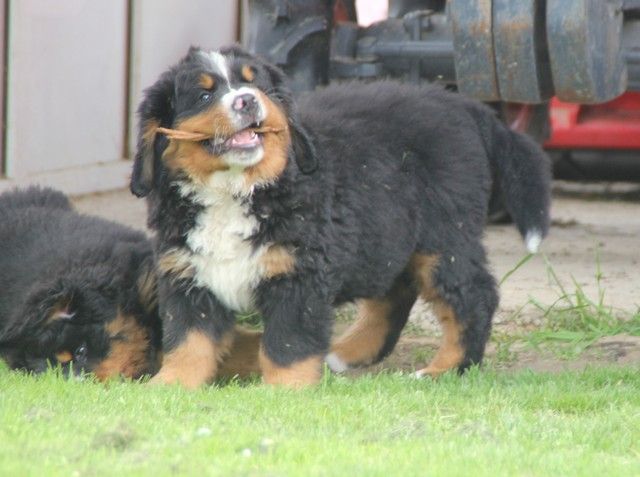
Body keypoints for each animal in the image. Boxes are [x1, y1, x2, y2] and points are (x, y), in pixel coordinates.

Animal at [131, 45, 551, 388]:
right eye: (205, 94)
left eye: (255, 84)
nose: (248, 101)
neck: (236, 190)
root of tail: (462, 104)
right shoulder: (188, 273)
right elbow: (189, 339)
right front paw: (170, 387)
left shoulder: (299, 273)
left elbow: (288, 342)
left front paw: (285, 390)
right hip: (387, 230)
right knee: (394, 293)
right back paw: (348, 353)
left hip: (444, 235)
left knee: (472, 295)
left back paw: (445, 369)